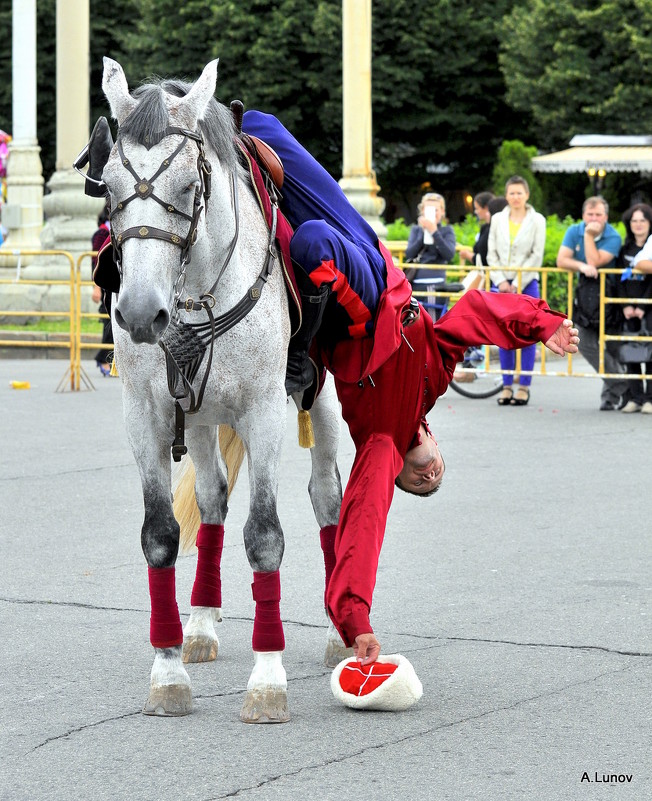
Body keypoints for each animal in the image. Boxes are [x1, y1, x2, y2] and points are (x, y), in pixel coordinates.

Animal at [96, 56, 346, 720]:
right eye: (108, 187)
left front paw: (268, 679)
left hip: (323, 403)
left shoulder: (264, 412)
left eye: (189, 185)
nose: (140, 313)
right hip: (203, 419)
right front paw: (168, 672)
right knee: (212, 499)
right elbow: (161, 535)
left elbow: (265, 536)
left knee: (327, 496)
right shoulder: (146, 415)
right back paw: (202, 623)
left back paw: (342, 629)